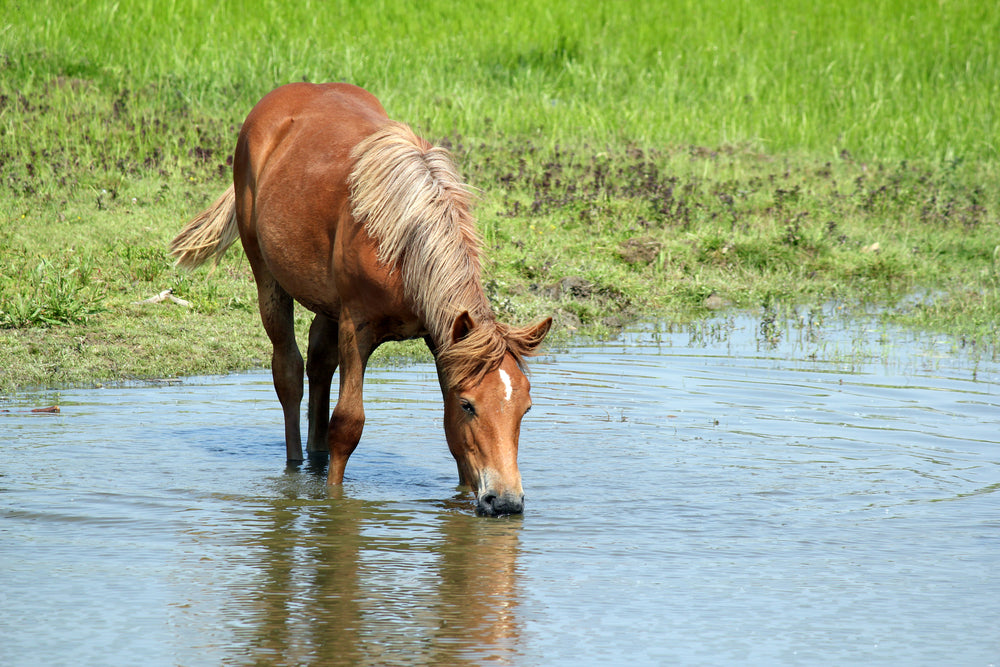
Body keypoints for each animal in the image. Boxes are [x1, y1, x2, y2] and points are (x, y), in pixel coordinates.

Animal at [170, 83, 551, 516]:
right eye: (469, 405)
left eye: (525, 407)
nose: (505, 501)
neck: (403, 243)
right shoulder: (358, 327)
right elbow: (347, 424)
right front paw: (333, 504)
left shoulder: (441, 339)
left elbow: (452, 439)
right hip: (268, 277)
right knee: (288, 373)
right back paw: (294, 465)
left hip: (326, 305)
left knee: (319, 364)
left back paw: (314, 456)